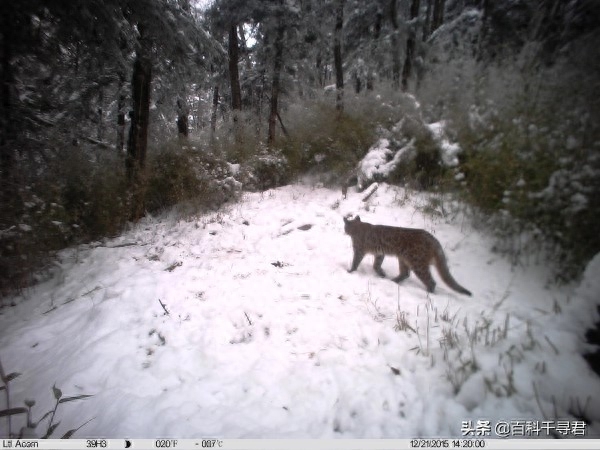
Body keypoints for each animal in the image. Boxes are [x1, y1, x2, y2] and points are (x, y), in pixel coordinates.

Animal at [344, 216, 472, 298]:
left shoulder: (359, 251)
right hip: (403, 259)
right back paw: (392, 281)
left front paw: (350, 271)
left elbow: (356, 262)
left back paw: (428, 294)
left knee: (430, 281)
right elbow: (376, 265)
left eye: (345, 227)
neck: (357, 227)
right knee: (405, 273)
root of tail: (433, 240)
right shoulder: (380, 253)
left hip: (417, 263)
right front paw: (382, 274)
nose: (344, 231)